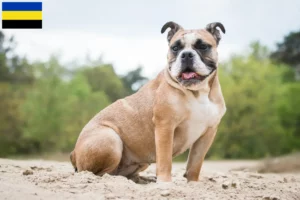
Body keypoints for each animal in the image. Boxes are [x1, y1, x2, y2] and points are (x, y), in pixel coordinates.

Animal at [69, 21, 225, 183]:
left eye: (203, 46)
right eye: (175, 48)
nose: (186, 54)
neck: (197, 92)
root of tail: (73, 153)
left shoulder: (208, 133)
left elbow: (195, 164)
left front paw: (192, 183)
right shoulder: (165, 127)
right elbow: (165, 160)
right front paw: (165, 182)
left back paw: (143, 179)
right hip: (111, 139)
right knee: (100, 173)